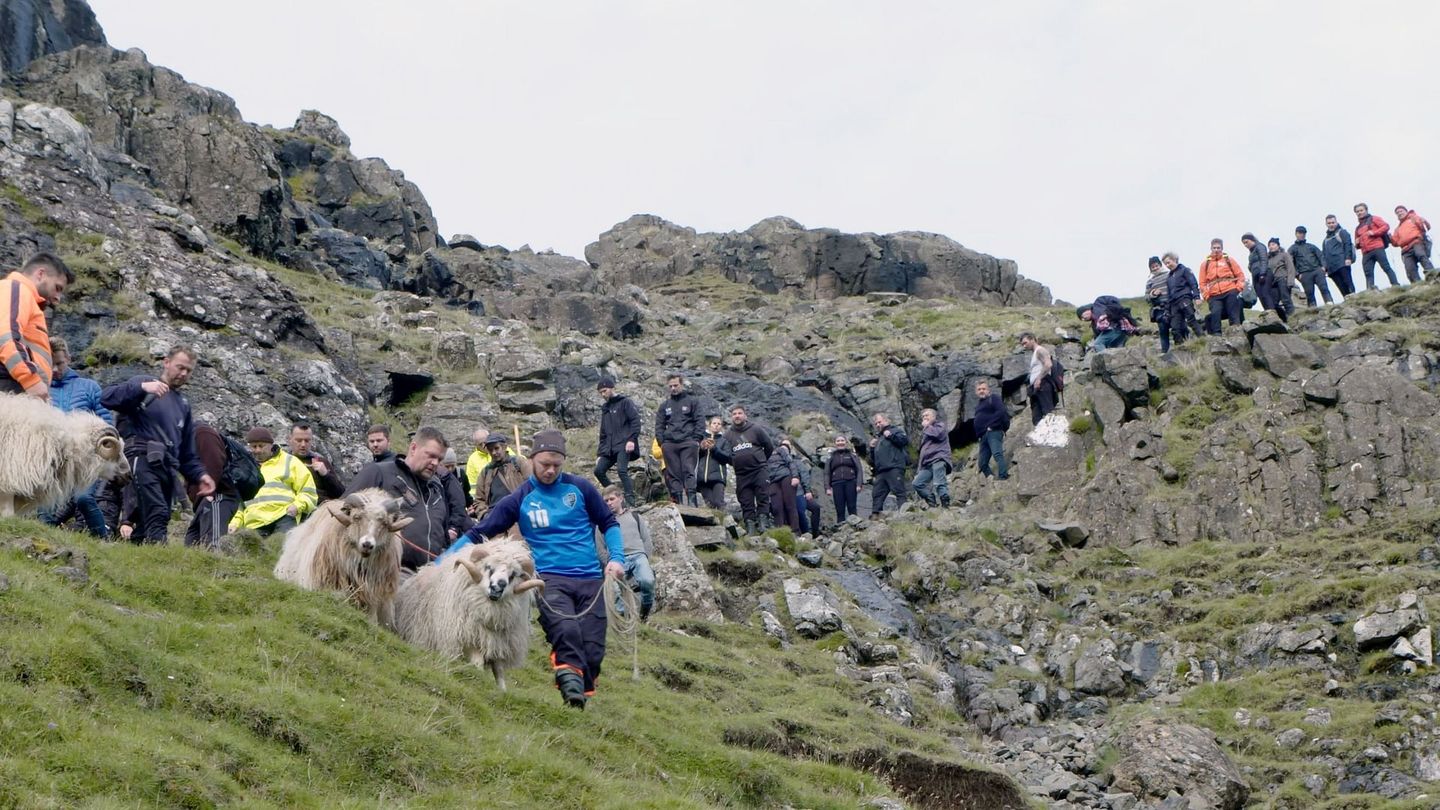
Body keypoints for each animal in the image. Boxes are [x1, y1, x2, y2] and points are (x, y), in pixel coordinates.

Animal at [394, 536, 544, 686]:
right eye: (488, 567)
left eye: (513, 575)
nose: (497, 588)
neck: (489, 613)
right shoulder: (468, 638)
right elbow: (477, 663)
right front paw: (479, 677)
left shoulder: (498, 646)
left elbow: (499, 673)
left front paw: (501, 689)